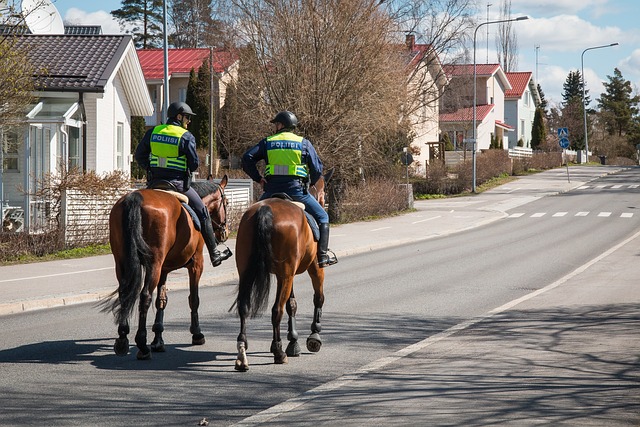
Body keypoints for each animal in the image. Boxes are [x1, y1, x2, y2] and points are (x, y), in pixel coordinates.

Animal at [101, 177, 229, 362]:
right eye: (226, 202)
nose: (224, 233)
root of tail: (135, 197)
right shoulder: (196, 264)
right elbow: (194, 299)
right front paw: (197, 334)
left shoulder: (164, 269)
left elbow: (161, 300)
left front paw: (158, 339)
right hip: (154, 263)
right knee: (145, 296)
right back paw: (142, 345)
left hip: (123, 263)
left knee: (125, 294)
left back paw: (123, 339)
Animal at [235, 170, 336, 372]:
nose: (324, 202)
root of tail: (265, 210)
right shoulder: (314, 268)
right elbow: (318, 298)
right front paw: (314, 335)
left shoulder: (286, 276)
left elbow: (292, 304)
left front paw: (293, 341)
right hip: (289, 273)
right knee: (277, 310)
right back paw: (278, 352)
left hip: (249, 272)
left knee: (244, 307)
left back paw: (242, 354)